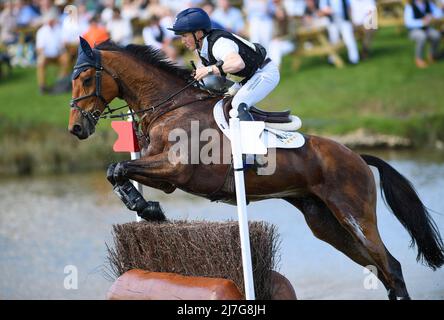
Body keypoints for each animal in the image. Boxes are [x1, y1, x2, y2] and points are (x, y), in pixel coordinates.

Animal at [67, 37, 442, 300]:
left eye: (84, 78)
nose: (76, 129)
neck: (172, 108)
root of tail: (358, 157)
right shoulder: (164, 174)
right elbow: (116, 169)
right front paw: (146, 208)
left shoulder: (175, 170)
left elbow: (118, 167)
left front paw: (148, 209)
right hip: (325, 222)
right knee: (380, 270)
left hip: (355, 216)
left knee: (391, 268)